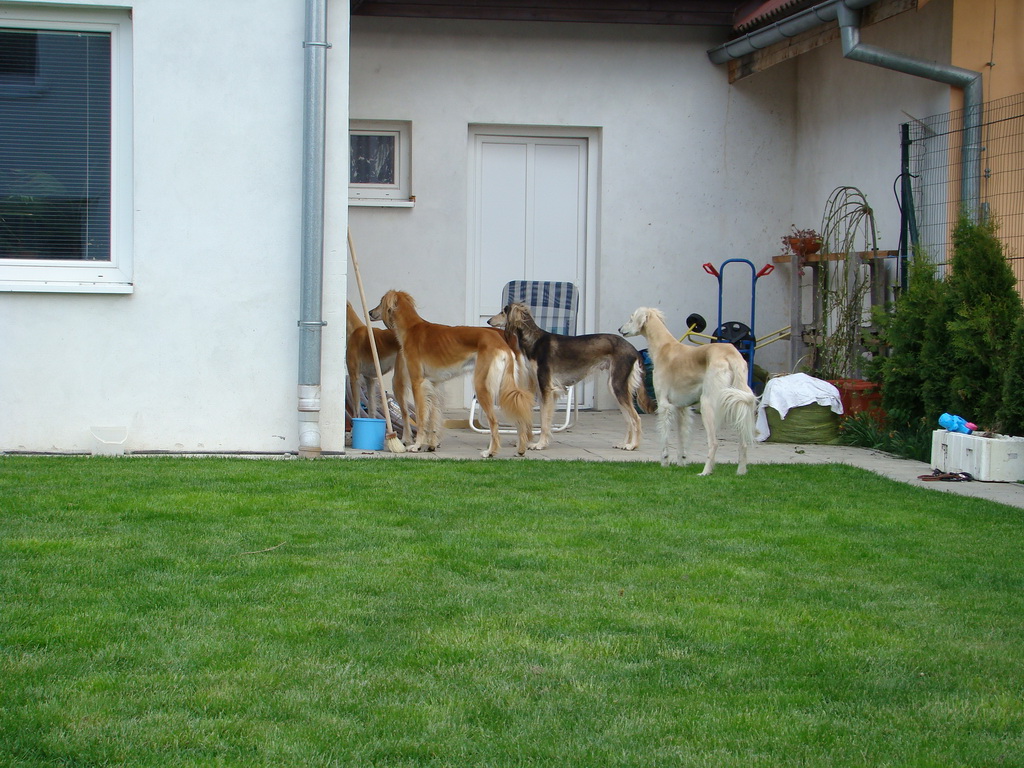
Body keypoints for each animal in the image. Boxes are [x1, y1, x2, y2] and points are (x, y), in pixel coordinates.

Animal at [368, 288, 532, 456]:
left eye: (380, 302)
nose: (369, 312)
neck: (411, 327)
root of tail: (501, 342)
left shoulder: (417, 382)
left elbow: (421, 416)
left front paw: (417, 445)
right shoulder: (433, 385)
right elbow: (433, 415)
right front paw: (431, 444)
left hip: (483, 386)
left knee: (495, 421)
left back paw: (491, 452)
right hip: (504, 386)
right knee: (519, 412)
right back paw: (521, 448)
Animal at [618, 307, 757, 475]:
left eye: (631, 318)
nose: (620, 329)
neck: (664, 346)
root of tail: (731, 354)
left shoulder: (664, 405)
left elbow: (664, 437)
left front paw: (664, 462)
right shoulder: (682, 408)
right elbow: (681, 437)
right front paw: (681, 463)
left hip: (708, 404)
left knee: (714, 442)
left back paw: (705, 472)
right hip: (737, 403)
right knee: (743, 443)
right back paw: (741, 472)